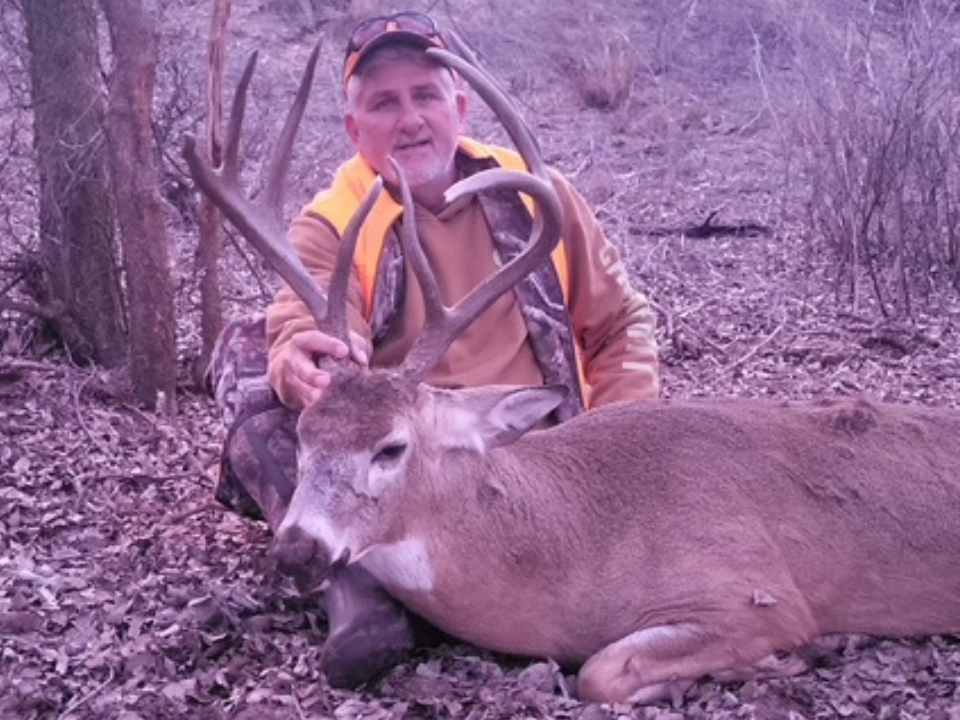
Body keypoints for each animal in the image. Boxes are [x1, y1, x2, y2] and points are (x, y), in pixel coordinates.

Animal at [183, 35, 960, 705]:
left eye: (392, 447)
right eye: (307, 436)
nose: (296, 548)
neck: (573, 547)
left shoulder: (757, 592)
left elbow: (601, 671)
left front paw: (779, 663)